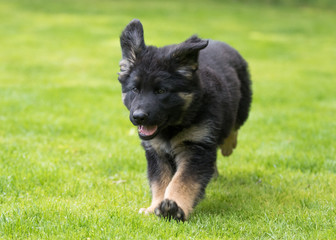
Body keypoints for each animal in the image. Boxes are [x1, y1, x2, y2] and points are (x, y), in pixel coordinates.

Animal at [118, 19, 252, 221]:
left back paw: (228, 145)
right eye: (135, 89)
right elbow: (160, 182)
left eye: (161, 91)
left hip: (243, 103)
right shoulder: (156, 152)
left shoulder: (196, 147)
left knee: (234, 125)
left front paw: (175, 207)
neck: (172, 127)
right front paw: (155, 207)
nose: (138, 116)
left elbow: (183, 181)